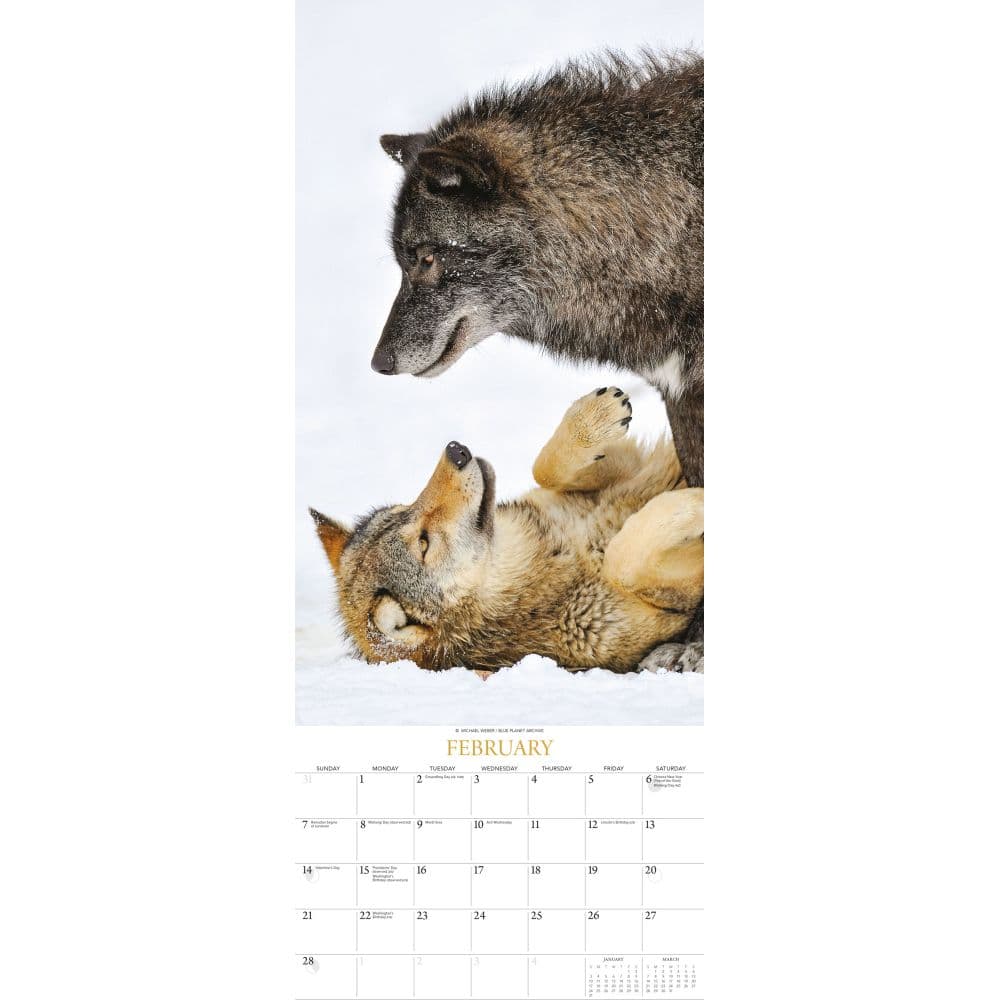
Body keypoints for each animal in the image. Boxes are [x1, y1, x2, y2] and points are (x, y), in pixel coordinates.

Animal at [311, 388, 703, 674]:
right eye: (424, 543)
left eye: (405, 509)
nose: (456, 451)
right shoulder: (663, 611)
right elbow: (625, 558)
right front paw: (695, 501)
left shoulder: (626, 468)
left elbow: (544, 468)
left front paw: (594, 417)